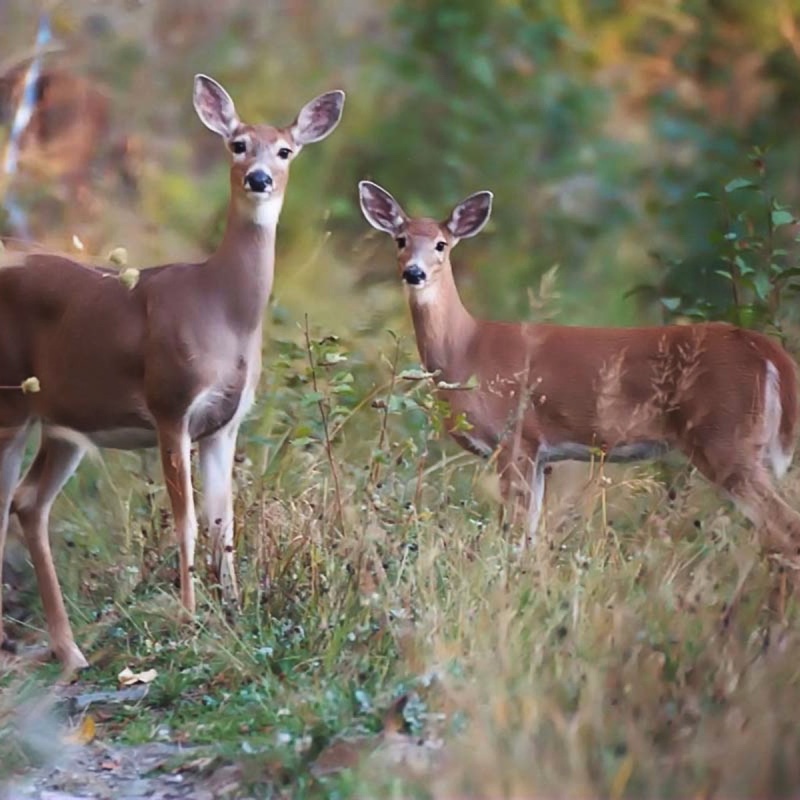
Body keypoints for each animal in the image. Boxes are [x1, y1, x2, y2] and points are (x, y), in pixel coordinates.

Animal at [0, 75, 345, 675]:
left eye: (285, 150)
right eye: (237, 144)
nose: (258, 178)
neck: (223, 311)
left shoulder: (225, 423)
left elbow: (223, 520)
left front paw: (233, 613)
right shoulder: (170, 404)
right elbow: (186, 521)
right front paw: (188, 618)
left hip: (60, 421)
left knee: (28, 501)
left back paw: (72, 651)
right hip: (9, 401)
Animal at [358, 180, 800, 564]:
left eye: (441, 244)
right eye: (400, 240)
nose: (414, 272)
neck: (465, 350)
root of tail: (768, 352)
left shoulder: (515, 436)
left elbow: (514, 533)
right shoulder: (540, 456)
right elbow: (529, 538)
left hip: (726, 435)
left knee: (784, 528)